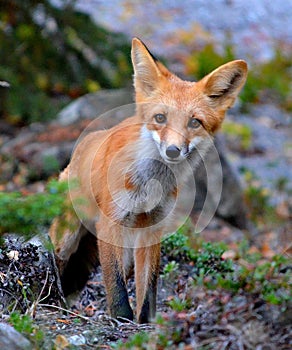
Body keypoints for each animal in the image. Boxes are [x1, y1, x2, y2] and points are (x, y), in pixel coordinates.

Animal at [49, 37, 248, 322]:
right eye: (160, 118)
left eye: (194, 123)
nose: (173, 151)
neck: (149, 185)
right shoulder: (109, 223)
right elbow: (116, 286)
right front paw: (121, 318)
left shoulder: (153, 226)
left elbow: (149, 286)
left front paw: (144, 321)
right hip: (68, 235)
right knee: (58, 261)